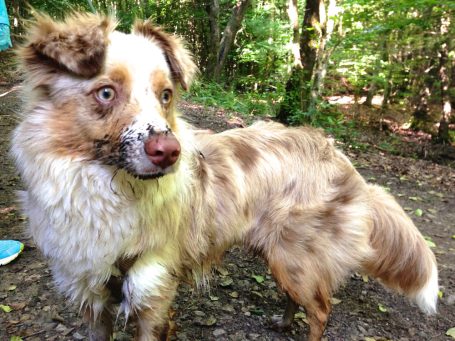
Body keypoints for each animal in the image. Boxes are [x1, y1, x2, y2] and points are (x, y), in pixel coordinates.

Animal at [11, 11, 438, 338]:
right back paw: (283, 323)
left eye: (166, 96)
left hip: (295, 258)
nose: (169, 152)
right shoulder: (92, 295)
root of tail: (342, 159)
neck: (107, 189)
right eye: (105, 93)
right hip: (280, 255)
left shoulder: (152, 292)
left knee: (320, 309)